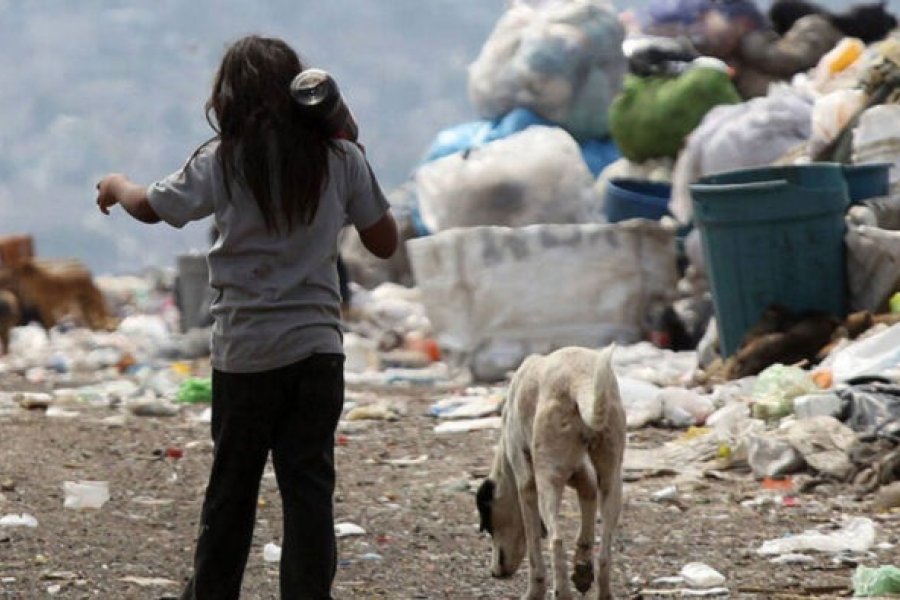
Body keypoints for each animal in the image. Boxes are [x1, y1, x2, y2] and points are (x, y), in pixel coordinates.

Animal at [478, 346, 624, 600]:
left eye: (488, 526)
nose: (494, 573)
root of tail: (579, 380)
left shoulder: (527, 486)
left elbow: (534, 547)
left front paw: (534, 591)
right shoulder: (582, 475)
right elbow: (586, 519)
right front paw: (582, 569)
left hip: (547, 481)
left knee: (556, 540)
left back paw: (562, 592)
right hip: (612, 481)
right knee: (605, 550)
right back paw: (602, 591)